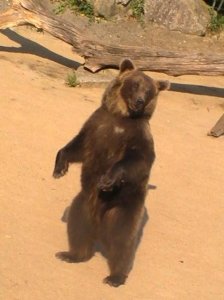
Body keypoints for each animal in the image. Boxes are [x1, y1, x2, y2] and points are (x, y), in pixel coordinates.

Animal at [53, 58, 170, 286]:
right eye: (135, 84)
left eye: (149, 90)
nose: (140, 101)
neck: (121, 117)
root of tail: (99, 227)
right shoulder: (96, 126)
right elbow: (77, 147)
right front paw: (59, 168)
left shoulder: (138, 137)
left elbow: (137, 161)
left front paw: (107, 180)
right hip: (83, 204)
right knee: (77, 227)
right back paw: (71, 254)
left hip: (122, 209)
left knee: (122, 241)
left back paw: (115, 276)